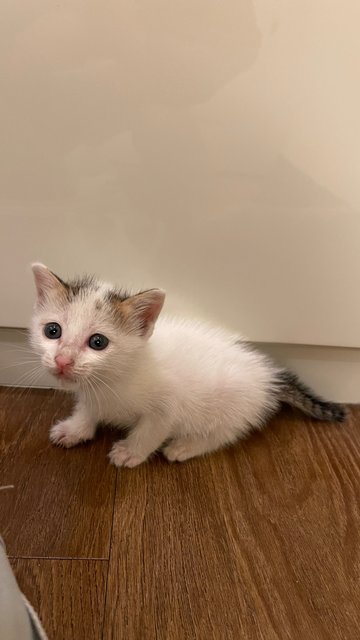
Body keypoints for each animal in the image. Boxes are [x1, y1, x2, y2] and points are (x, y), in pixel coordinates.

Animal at [30, 262, 346, 468]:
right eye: (52, 331)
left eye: (98, 342)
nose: (62, 360)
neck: (114, 379)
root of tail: (270, 374)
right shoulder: (91, 394)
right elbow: (88, 409)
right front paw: (75, 428)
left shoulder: (168, 405)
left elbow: (151, 430)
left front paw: (131, 452)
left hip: (230, 405)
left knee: (224, 433)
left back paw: (185, 446)